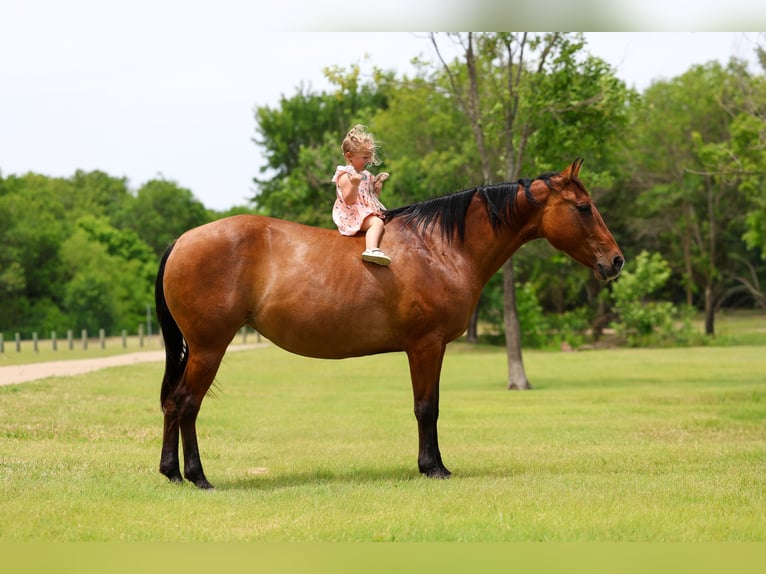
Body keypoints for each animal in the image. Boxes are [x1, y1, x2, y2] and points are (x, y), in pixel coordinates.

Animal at [155, 158, 624, 489]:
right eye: (584, 207)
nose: (616, 261)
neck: (438, 246)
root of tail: (181, 240)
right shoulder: (426, 345)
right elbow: (427, 407)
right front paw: (433, 468)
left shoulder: (431, 347)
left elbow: (430, 406)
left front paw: (434, 464)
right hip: (209, 348)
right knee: (188, 403)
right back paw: (198, 476)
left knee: (174, 403)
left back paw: (172, 472)